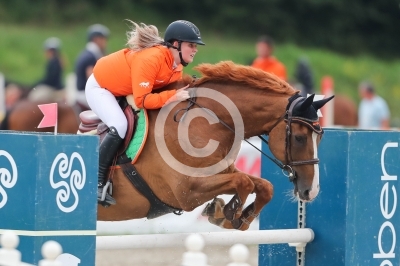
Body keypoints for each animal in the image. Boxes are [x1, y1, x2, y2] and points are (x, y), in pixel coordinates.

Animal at [97, 61, 334, 232]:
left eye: (320, 139)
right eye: (300, 138)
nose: (311, 191)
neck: (208, 121)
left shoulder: (221, 172)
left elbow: (263, 186)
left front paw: (235, 217)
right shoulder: (186, 191)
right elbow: (244, 182)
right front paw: (228, 213)